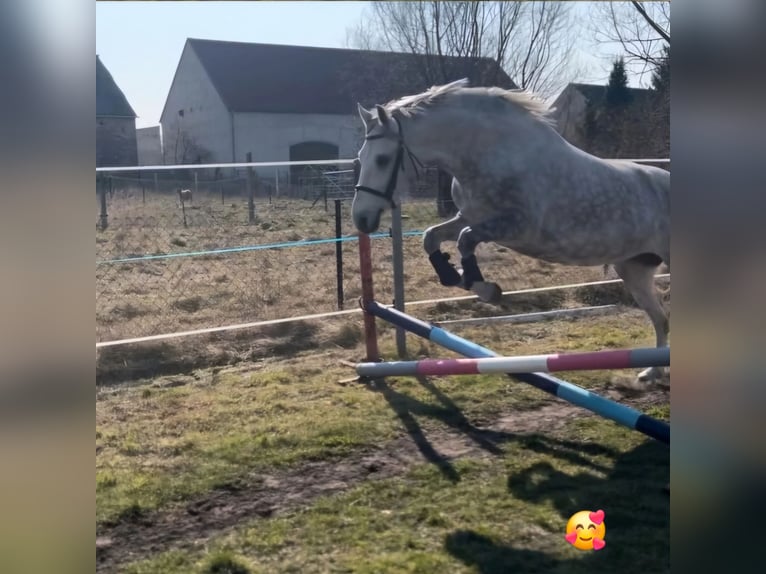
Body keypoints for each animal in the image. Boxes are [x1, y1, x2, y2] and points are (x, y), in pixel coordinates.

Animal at [351, 79, 670, 383]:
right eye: (361, 156)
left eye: (382, 159)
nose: (361, 219)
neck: (488, 152)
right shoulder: (468, 217)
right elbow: (432, 237)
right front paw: (457, 277)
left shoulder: (515, 227)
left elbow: (466, 240)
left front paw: (487, 289)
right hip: (633, 269)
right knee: (661, 319)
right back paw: (651, 373)